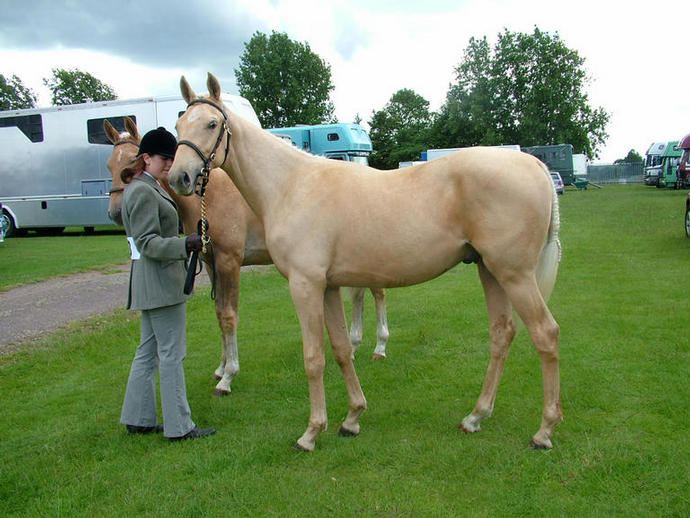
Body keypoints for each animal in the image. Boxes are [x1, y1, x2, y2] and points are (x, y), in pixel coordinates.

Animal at [167, 75, 560, 452]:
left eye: (212, 123)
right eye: (179, 125)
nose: (179, 177)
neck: (290, 184)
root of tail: (536, 165)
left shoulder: (304, 284)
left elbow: (313, 357)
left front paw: (311, 432)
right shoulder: (328, 286)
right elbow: (341, 350)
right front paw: (352, 418)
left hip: (515, 275)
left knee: (546, 334)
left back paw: (544, 431)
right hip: (489, 270)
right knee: (502, 334)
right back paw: (475, 417)